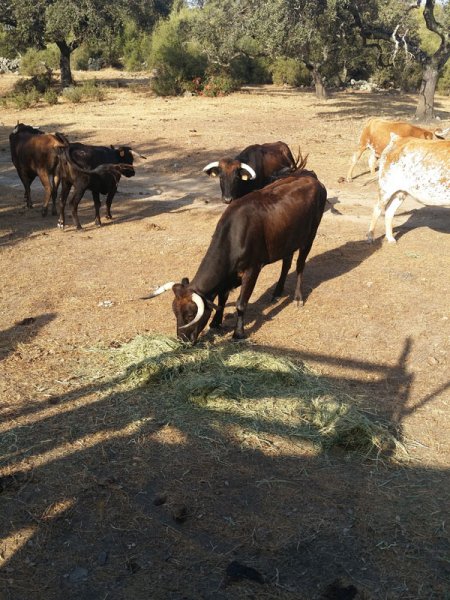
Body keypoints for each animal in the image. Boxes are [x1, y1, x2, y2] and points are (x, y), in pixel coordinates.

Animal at [144, 164, 326, 342]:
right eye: (175, 313)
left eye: (190, 315)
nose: (182, 340)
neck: (233, 235)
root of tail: (310, 176)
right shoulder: (227, 276)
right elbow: (222, 298)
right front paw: (216, 322)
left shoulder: (252, 270)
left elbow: (240, 303)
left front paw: (238, 333)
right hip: (287, 241)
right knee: (287, 263)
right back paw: (277, 293)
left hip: (310, 236)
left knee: (300, 265)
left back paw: (298, 298)